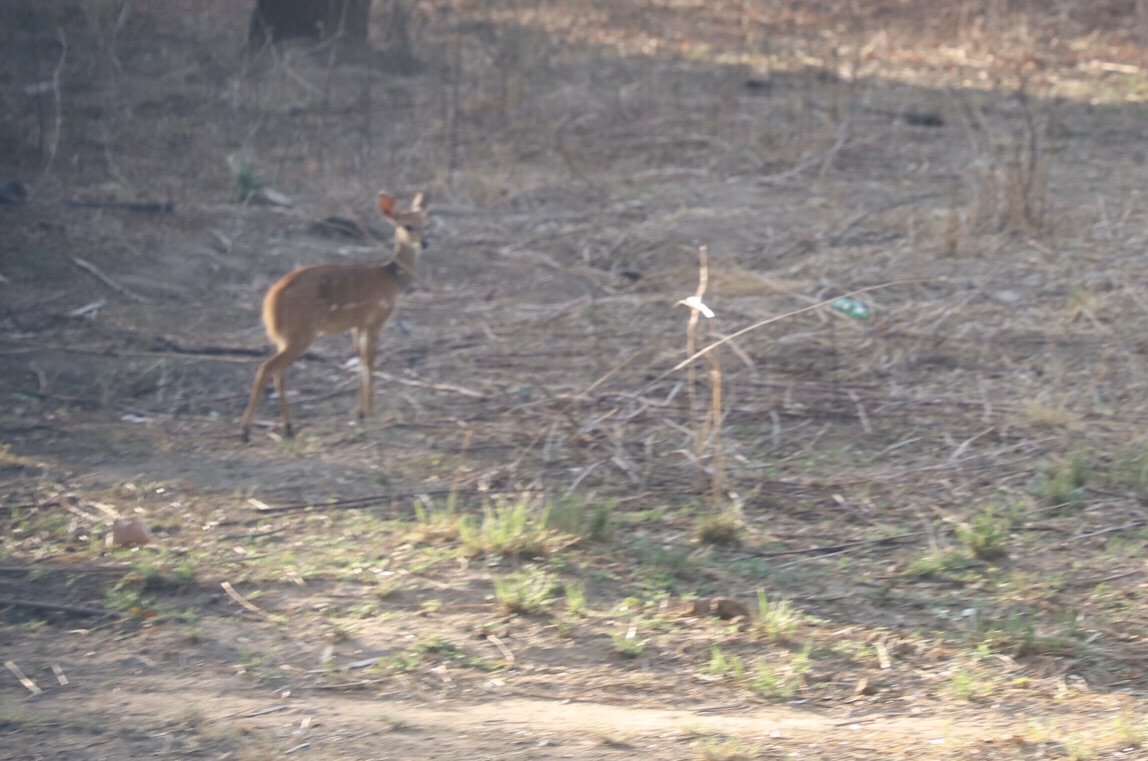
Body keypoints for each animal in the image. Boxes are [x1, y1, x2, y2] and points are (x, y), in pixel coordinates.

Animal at [242, 190, 427, 440]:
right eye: (407, 226)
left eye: (424, 222)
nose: (425, 243)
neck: (392, 278)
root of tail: (272, 301)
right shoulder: (376, 320)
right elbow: (370, 361)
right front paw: (370, 412)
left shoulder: (357, 325)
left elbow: (360, 359)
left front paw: (360, 413)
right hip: (302, 333)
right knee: (267, 367)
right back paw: (246, 431)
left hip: (286, 336)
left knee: (278, 371)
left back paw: (288, 427)